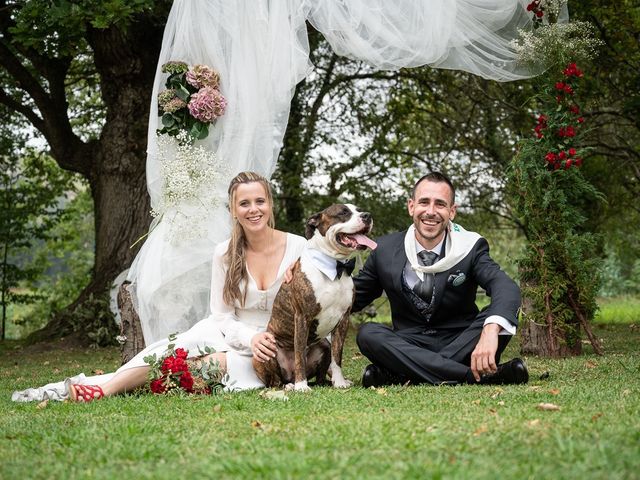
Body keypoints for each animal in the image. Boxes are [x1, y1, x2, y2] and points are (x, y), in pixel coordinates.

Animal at [252, 204, 378, 392]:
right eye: (343, 213)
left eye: (358, 209)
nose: (367, 216)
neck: (335, 267)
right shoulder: (302, 317)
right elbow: (299, 355)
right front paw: (302, 386)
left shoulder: (343, 319)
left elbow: (337, 356)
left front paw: (339, 382)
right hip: (268, 351)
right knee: (275, 381)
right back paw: (290, 385)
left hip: (323, 345)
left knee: (319, 376)